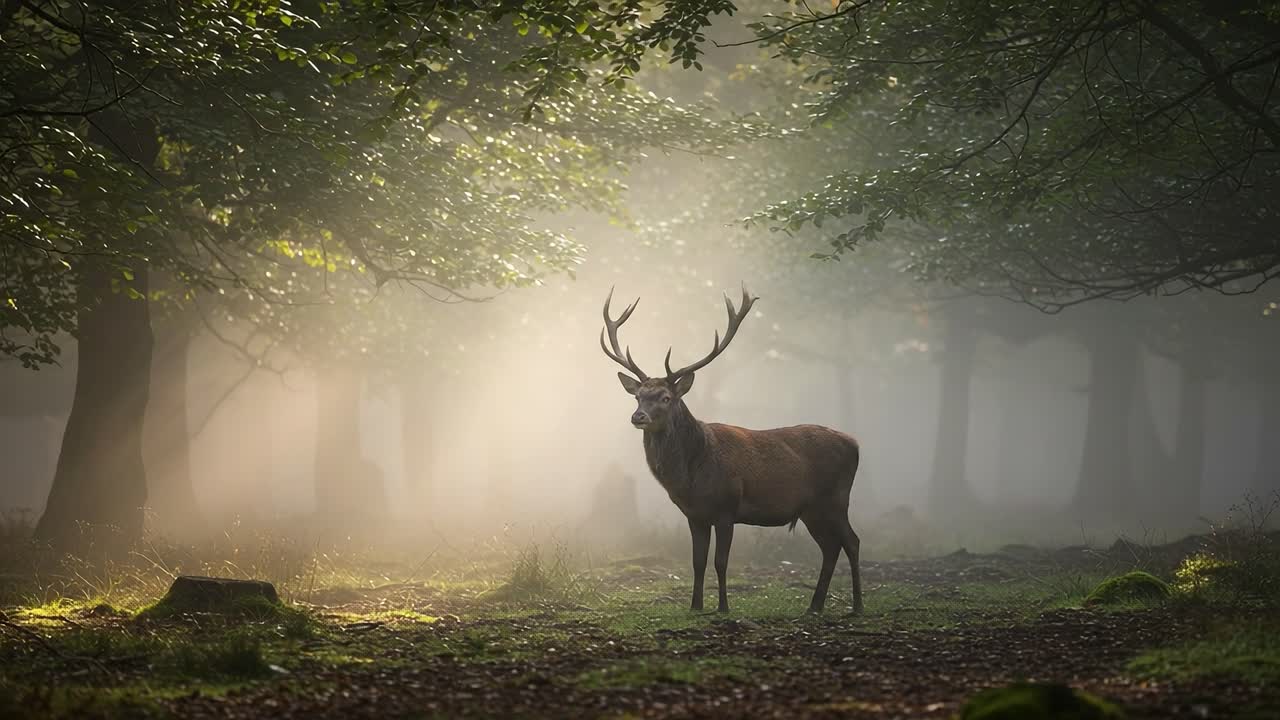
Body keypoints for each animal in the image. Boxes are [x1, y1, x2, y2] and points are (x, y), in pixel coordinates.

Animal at [600, 286, 863, 614]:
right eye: (637, 396)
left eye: (665, 397)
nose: (638, 417)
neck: (692, 476)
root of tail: (855, 444)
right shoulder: (694, 515)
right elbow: (697, 562)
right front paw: (695, 606)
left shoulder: (727, 508)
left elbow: (721, 562)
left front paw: (723, 608)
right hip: (811, 509)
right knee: (830, 547)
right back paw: (814, 607)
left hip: (836, 498)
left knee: (852, 541)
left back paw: (857, 606)